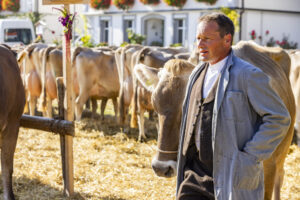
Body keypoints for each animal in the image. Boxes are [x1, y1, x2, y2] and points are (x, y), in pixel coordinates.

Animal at [136, 41, 296, 200]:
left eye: (186, 107)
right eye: (156, 106)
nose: (161, 167)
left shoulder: (269, 168)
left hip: (282, 152)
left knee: (279, 177)